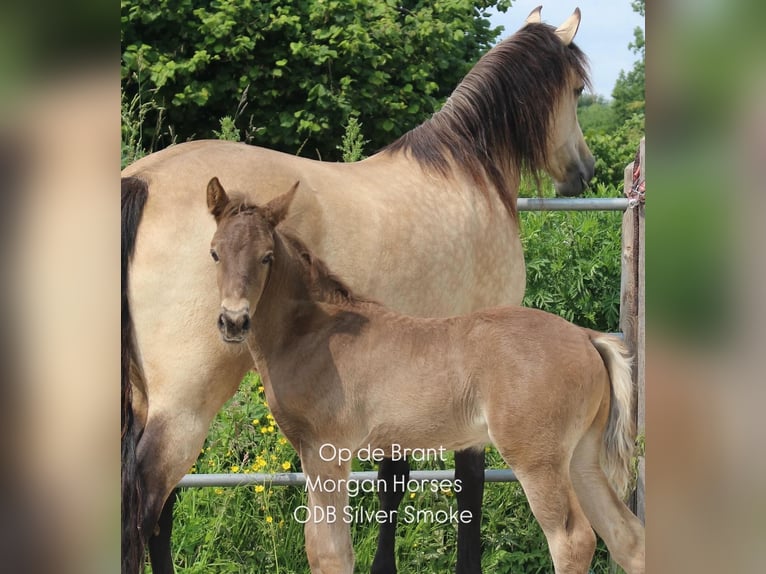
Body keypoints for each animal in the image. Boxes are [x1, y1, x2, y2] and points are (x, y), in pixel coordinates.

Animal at [121, 6, 595, 573]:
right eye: (577, 89)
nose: (585, 172)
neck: (467, 175)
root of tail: (143, 180)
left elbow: (393, 479)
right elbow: (468, 483)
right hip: (186, 401)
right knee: (147, 503)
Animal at [206, 179, 645, 574]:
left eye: (266, 257)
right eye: (214, 253)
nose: (233, 321)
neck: (314, 331)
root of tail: (586, 337)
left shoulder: (326, 452)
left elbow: (329, 553)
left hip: (539, 460)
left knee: (573, 540)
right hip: (582, 457)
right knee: (626, 536)